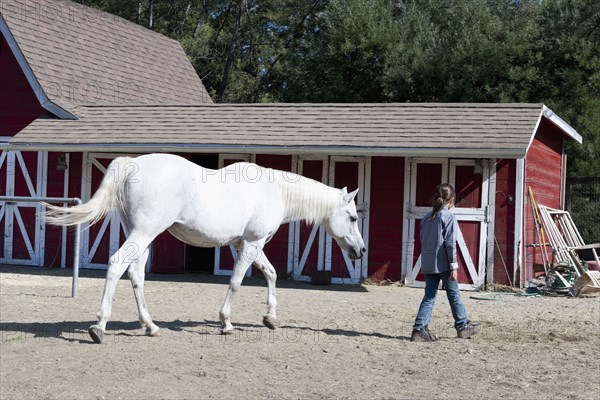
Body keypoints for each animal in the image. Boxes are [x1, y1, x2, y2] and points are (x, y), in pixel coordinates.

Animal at [45, 154, 366, 344]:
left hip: (141, 236)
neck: (273, 191)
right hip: (144, 232)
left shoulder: (246, 244)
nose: (361, 251)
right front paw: (226, 322)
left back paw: (150, 326)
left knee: (136, 275)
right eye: (352, 217)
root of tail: (131, 164)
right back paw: (99, 327)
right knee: (116, 264)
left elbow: (272, 274)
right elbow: (236, 282)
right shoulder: (251, 245)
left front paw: (270, 318)